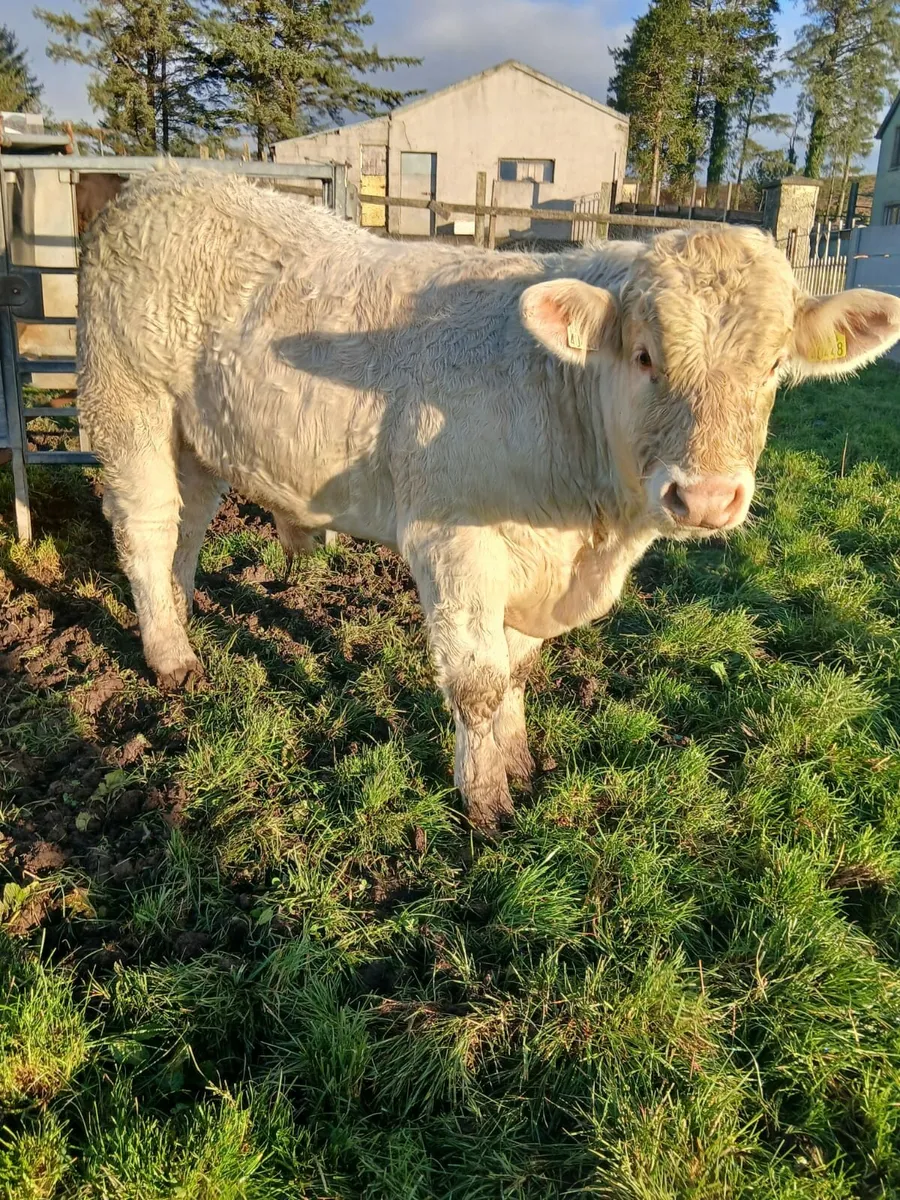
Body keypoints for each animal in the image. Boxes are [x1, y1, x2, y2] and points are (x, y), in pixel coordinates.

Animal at [77, 167, 900, 829]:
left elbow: (514, 672)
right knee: (146, 529)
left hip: (200, 435)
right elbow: (477, 682)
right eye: (644, 357)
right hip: (129, 404)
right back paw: (170, 657)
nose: (704, 497)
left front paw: (520, 762)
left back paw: (179, 621)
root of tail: (158, 179)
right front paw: (486, 803)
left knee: (186, 530)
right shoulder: (454, 540)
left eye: (773, 368)